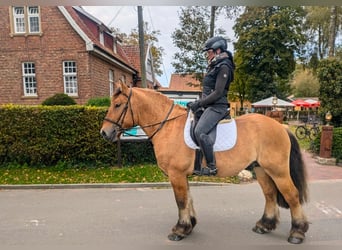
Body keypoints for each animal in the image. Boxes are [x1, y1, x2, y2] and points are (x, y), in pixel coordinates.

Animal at [100, 81, 308, 244]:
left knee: (292, 195)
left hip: (278, 171)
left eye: (117, 105)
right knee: (270, 194)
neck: (168, 126)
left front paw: (180, 230)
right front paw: (189, 225)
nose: (104, 132)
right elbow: (188, 198)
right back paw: (265, 225)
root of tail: (280, 127)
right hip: (262, 169)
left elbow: (181, 201)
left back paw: (297, 232)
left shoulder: (176, 174)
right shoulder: (182, 175)